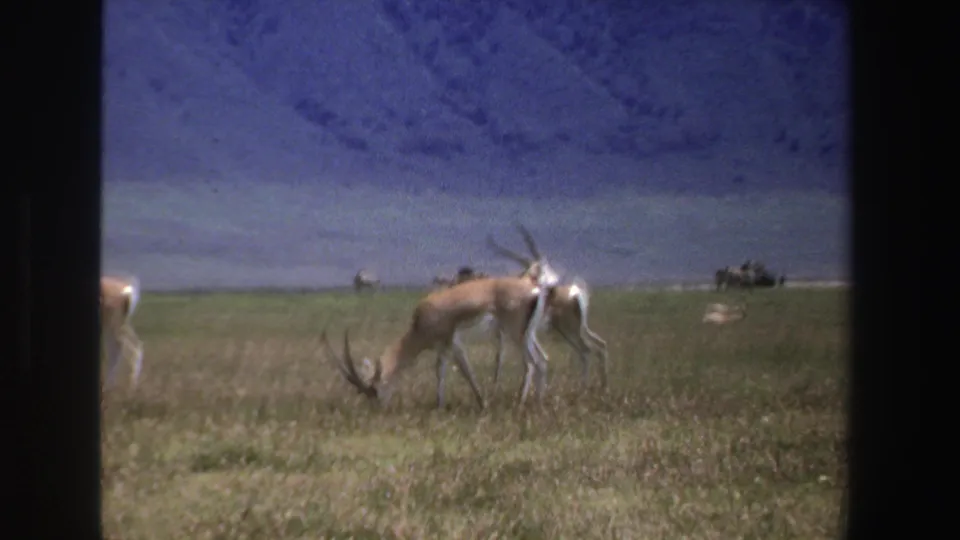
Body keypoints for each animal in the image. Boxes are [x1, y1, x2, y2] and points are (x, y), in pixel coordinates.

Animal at [321, 274, 552, 409]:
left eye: (375, 390)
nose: (379, 409)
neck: (420, 321)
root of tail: (534, 289)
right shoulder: (441, 348)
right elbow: (439, 372)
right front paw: (439, 405)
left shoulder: (453, 344)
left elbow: (466, 371)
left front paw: (482, 403)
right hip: (528, 335)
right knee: (543, 360)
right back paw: (538, 403)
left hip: (516, 334)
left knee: (532, 363)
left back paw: (521, 403)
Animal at [486, 229, 609, 389]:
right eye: (543, 267)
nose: (554, 283)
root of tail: (575, 292)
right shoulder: (507, 332)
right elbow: (501, 357)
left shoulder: (508, 332)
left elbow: (501, 357)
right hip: (576, 329)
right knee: (598, 346)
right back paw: (600, 386)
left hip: (570, 329)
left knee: (587, 350)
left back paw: (585, 387)